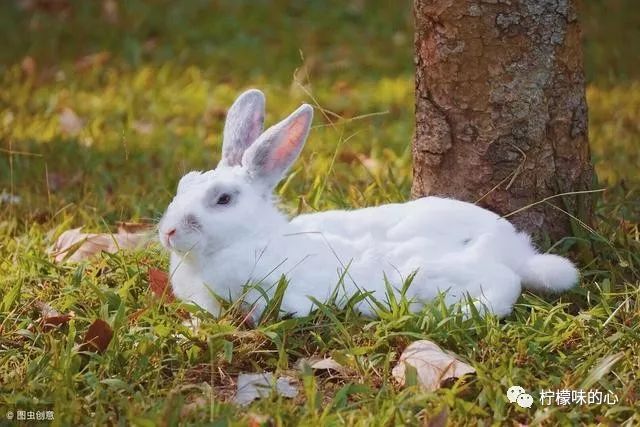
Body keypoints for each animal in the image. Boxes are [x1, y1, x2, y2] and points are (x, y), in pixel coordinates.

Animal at [160, 88, 580, 320]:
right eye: (184, 183)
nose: (167, 232)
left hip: (438, 273)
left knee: (505, 285)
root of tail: (516, 252)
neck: (251, 239)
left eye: (223, 199)